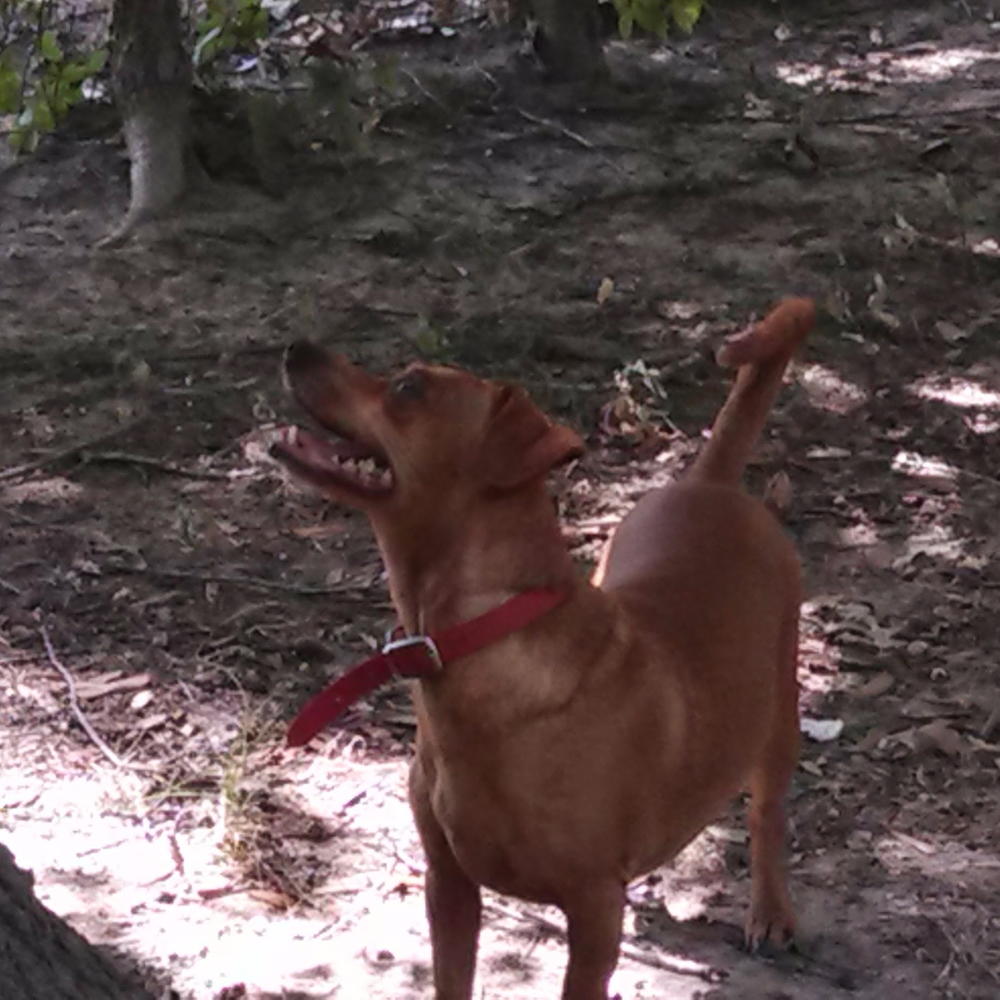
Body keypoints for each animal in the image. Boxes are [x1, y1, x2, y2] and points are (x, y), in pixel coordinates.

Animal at [272, 298, 812, 1000]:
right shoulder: (449, 883)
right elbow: (451, 981)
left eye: (409, 388)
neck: (473, 644)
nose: (296, 346)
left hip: (778, 712)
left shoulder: (592, 908)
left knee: (767, 813)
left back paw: (770, 912)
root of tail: (711, 483)